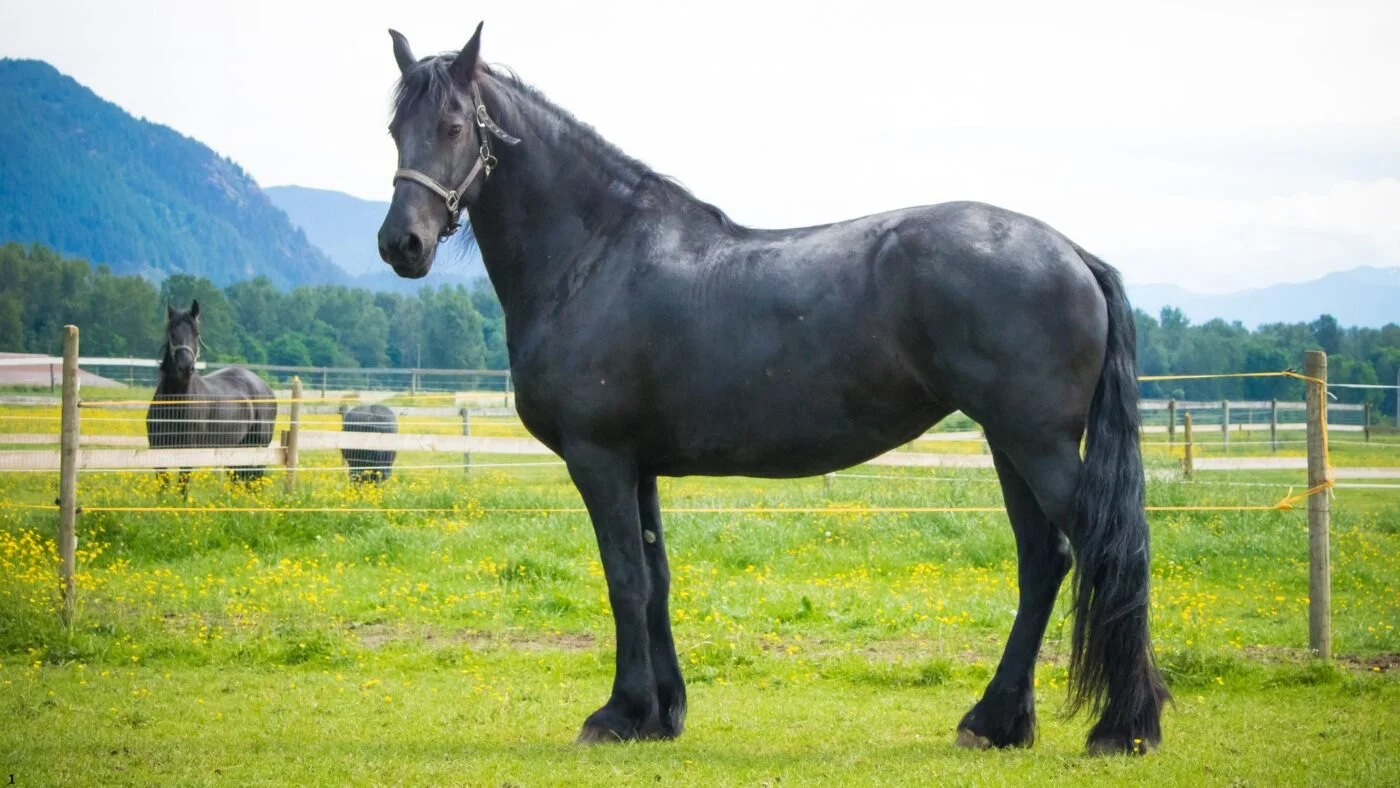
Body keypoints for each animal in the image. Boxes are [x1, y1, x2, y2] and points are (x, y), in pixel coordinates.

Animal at [146, 301, 277, 493]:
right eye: (172, 334)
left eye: (196, 334)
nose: (186, 367)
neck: (175, 404)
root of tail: (264, 387)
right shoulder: (158, 450)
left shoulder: (188, 452)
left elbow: (182, 489)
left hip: (256, 449)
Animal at [375, 24, 1169, 755]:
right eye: (393, 130)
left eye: (453, 126)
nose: (400, 244)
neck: (597, 253)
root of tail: (1072, 253)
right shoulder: (639, 466)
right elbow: (656, 578)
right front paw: (661, 715)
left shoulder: (598, 459)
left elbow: (624, 579)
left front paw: (618, 714)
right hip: (1010, 444)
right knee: (1044, 562)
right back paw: (997, 722)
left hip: (1037, 444)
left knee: (1104, 552)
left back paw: (1122, 727)